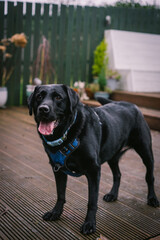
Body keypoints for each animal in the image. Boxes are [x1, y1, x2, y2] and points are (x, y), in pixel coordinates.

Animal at [28, 84, 159, 234]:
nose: (43, 109)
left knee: (149, 177)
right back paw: (112, 195)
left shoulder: (93, 170)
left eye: (58, 97)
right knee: (118, 174)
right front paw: (55, 212)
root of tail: (132, 105)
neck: (68, 133)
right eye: (39, 96)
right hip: (112, 155)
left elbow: (92, 201)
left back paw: (152, 198)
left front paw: (89, 224)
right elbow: (60, 194)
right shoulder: (58, 169)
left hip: (145, 151)